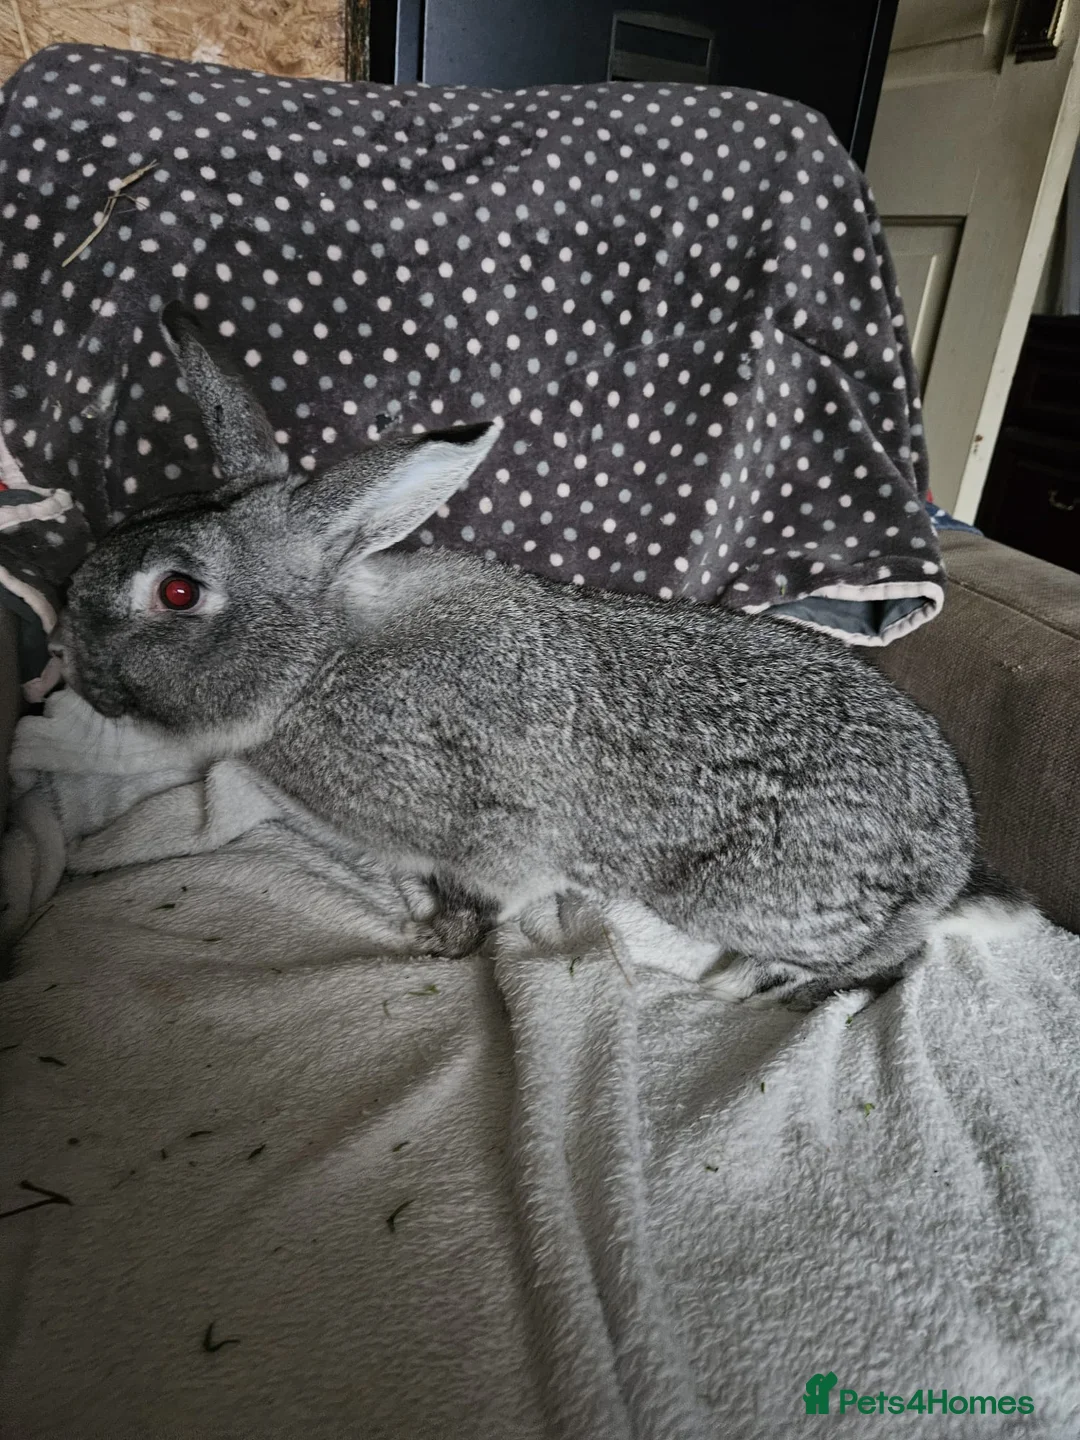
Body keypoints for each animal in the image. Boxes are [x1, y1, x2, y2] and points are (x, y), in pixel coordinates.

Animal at [50, 303, 1033, 1004]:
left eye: (178, 592)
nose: (77, 666)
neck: (321, 663)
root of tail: (949, 866)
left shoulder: (497, 835)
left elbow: (483, 901)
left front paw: (434, 945)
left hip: (742, 896)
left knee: (882, 965)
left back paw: (747, 982)